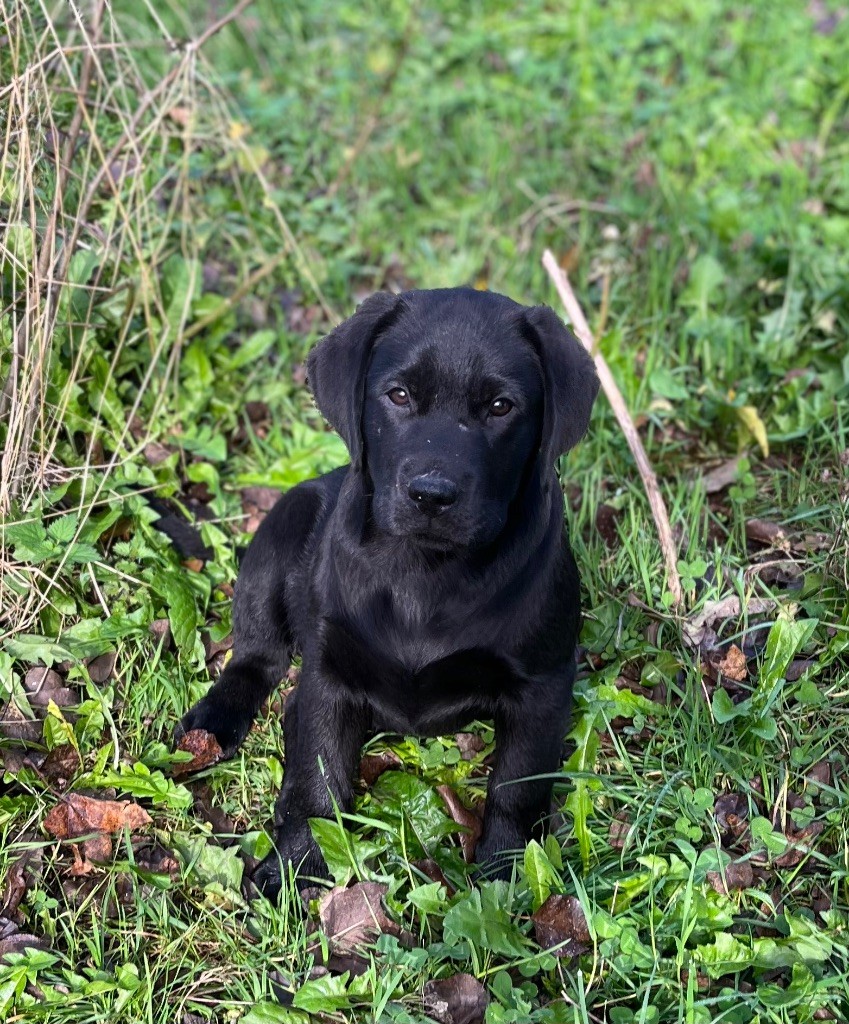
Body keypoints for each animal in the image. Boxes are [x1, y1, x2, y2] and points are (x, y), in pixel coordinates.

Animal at [175, 288, 598, 897]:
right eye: (398, 395)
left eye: (501, 407)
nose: (432, 494)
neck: (424, 572)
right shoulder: (328, 673)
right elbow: (317, 776)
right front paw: (297, 864)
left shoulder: (540, 684)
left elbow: (518, 785)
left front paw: (505, 878)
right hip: (279, 534)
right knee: (256, 659)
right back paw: (213, 723)